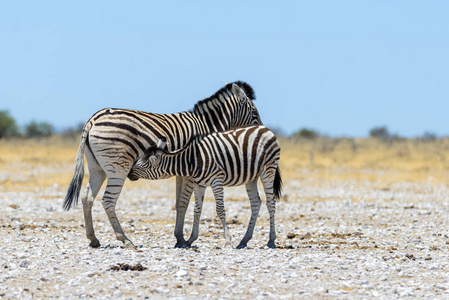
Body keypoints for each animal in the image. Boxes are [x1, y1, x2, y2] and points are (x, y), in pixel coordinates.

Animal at [61, 81, 260, 248]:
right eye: (255, 113)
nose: (260, 131)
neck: (207, 126)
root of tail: (92, 120)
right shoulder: (191, 170)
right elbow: (184, 203)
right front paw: (183, 240)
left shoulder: (182, 171)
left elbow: (180, 203)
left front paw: (179, 237)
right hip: (118, 168)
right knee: (108, 201)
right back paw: (125, 239)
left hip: (97, 168)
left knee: (87, 197)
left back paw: (93, 239)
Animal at [128, 125, 282, 248]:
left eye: (142, 165)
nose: (129, 173)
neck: (192, 161)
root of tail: (264, 128)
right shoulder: (199, 184)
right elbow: (197, 210)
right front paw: (190, 239)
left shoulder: (216, 180)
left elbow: (220, 210)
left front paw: (228, 240)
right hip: (252, 177)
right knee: (256, 203)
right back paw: (244, 240)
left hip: (268, 169)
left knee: (271, 203)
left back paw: (271, 240)